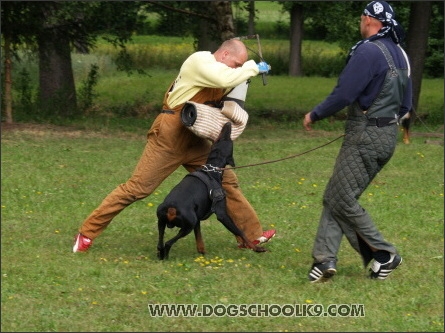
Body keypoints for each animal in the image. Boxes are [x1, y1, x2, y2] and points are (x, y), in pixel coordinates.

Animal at [156, 122, 266, 260]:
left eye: (220, 139)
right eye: (226, 139)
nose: (228, 123)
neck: (212, 169)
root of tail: (171, 208)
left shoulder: (198, 218)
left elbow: (199, 239)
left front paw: (202, 252)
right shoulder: (222, 214)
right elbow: (240, 231)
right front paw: (256, 248)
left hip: (162, 221)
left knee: (160, 244)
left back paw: (161, 255)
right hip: (188, 224)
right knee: (168, 243)